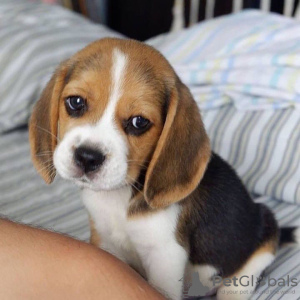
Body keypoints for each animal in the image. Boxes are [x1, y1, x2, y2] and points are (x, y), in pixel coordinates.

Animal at [29, 38, 298, 300]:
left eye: (139, 122)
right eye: (75, 102)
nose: (87, 157)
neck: (119, 197)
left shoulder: (165, 255)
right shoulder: (104, 240)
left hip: (259, 244)